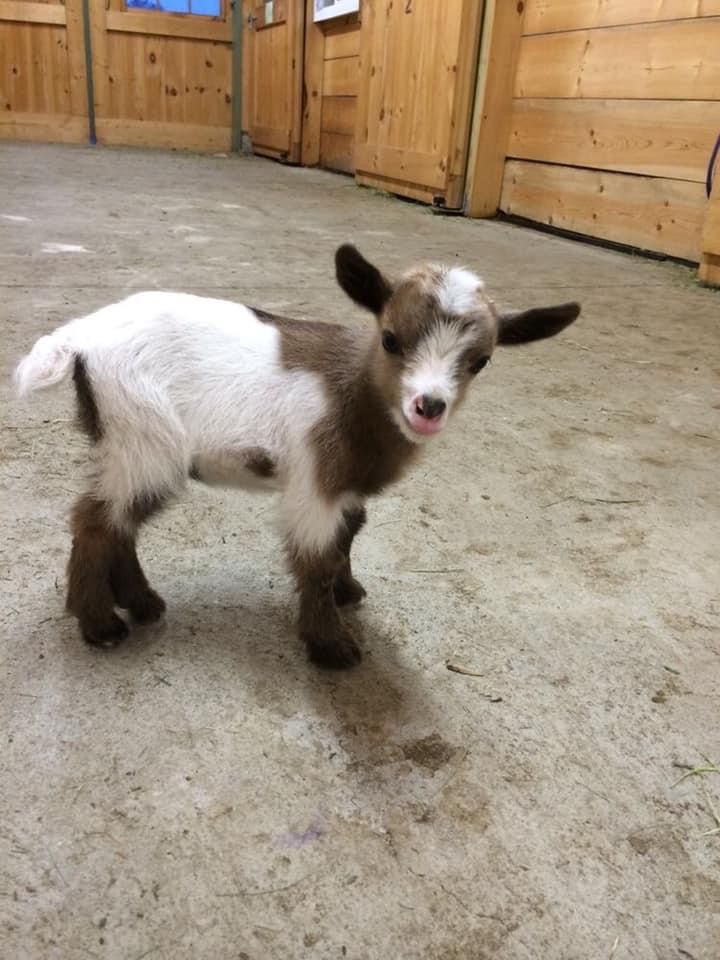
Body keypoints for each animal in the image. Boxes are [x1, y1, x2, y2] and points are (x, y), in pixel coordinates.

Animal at [15, 246, 580, 668]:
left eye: (481, 361)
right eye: (390, 338)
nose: (428, 407)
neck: (354, 393)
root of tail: (78, 337)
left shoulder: (346, 485)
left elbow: (350, 535)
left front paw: (348, 592)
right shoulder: (317, 479)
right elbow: (318, 558)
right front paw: (332, 646)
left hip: (129, 444)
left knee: (118, 521)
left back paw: (141, 604)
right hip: (143, 437)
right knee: (96, 519)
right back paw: (101, 625)